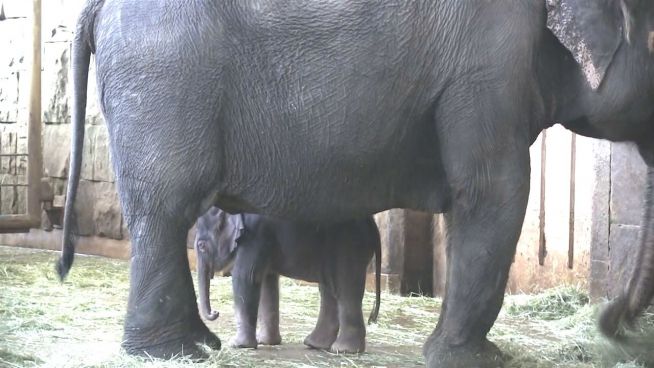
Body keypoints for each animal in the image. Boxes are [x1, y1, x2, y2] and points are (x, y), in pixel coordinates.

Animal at [192, 207, 382, 354]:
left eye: (201, 246)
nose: (215, 312)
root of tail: (373, 225)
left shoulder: (255, 237)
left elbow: (246, 277)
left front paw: (238, 345)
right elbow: (267, 281)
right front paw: (265, 342)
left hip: (349, 248)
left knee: (346, 290)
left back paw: (342, 350)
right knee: (329, 290)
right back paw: (315, 345)